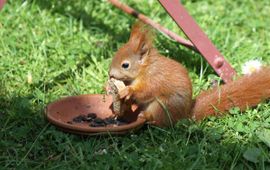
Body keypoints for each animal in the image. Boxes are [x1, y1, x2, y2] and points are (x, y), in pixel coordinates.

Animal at [108, 21, 270, 127]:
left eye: (125, 65)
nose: (110, 74)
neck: (144, 69)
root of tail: (185, 114)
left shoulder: (154, 79)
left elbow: (145, 91)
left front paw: (128, 91)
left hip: (163, 106)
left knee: (160, 120)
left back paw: (146, 117)